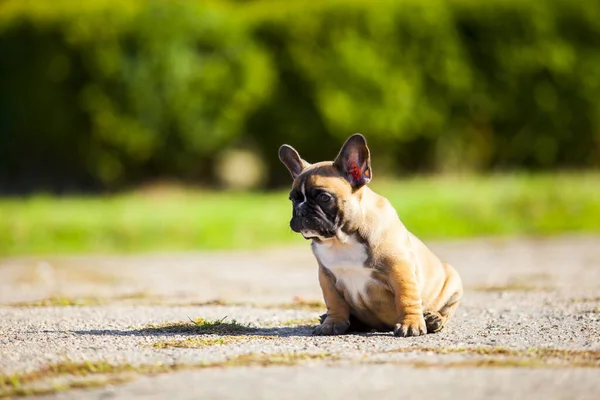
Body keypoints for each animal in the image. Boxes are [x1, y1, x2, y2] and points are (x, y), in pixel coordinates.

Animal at [278, 134, 462, 338]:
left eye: (324, 198)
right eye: (293, 199)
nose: (300, 211)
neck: (343, 240)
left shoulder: (401, 271)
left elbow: (406, 298)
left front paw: (411, 324)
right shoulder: (327, 278)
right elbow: (334, 302)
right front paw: (332, 323)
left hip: (452, 282)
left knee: (446, 310)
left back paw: (432, 319)